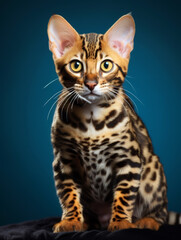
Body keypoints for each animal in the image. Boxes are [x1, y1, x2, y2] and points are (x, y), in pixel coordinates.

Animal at [47, 14, 168, 232]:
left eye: (106, 65)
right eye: (76, 65)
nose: (91, 83)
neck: (91, 118)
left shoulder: (129, 159)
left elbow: (124, 195)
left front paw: (120, 222)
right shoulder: (63, 160)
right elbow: (68, 195)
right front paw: (71, 221)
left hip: (153, 168)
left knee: (160, 210)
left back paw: (147, 221)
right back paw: (87, 222)